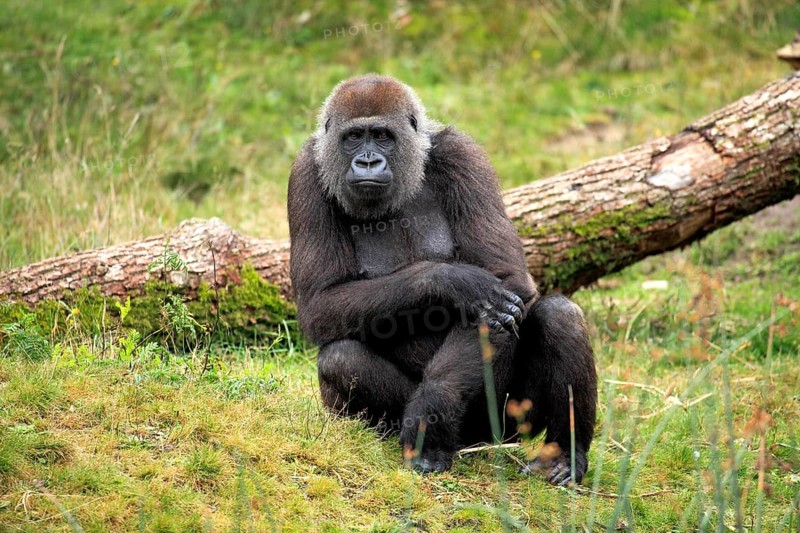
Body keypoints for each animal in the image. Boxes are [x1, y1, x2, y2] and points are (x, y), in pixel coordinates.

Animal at [287, 74, 597, 485]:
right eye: (354, 137)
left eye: (381, 135)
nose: (367, 160)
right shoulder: (304, 175)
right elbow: (320, 302)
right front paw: (449, 282)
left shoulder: (463, 155)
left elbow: (508, 277)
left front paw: (431, 411)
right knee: (341, 358)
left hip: (506, 426)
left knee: (560, 315)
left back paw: (564, 453)